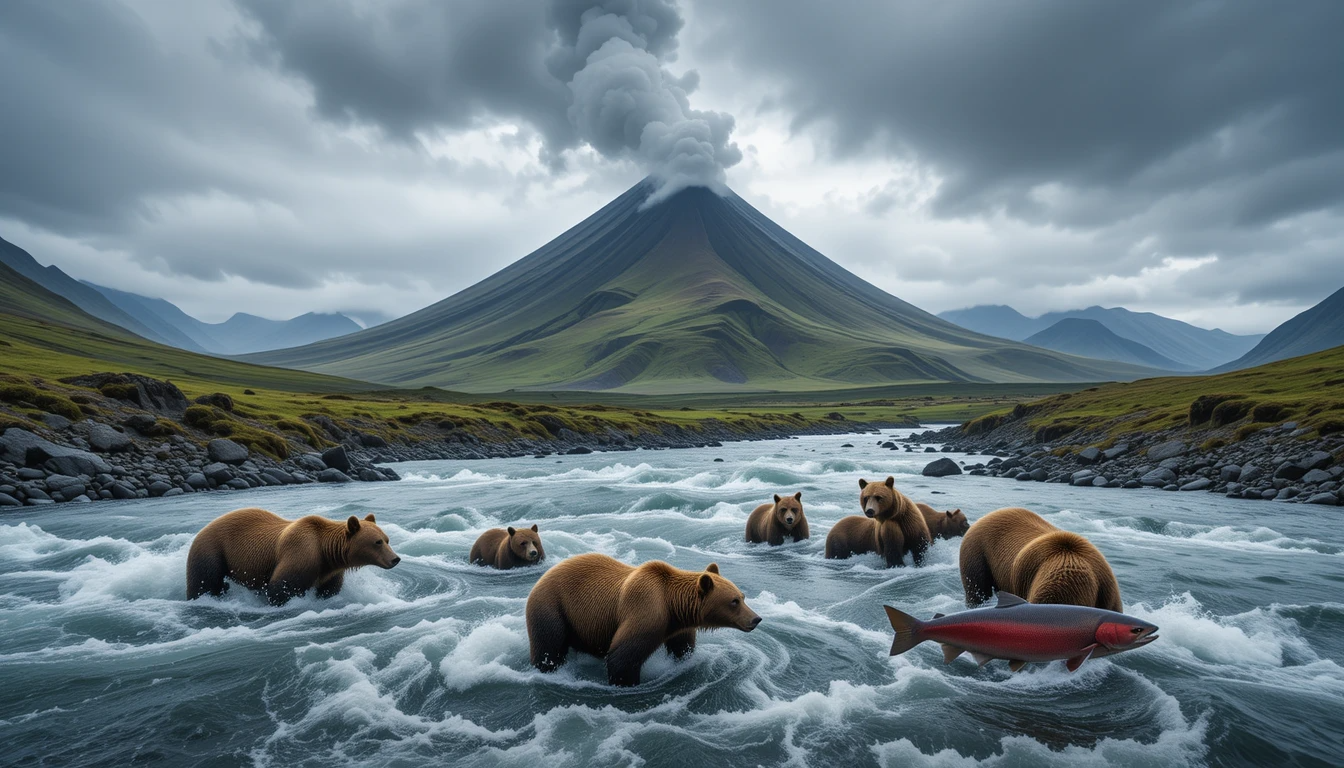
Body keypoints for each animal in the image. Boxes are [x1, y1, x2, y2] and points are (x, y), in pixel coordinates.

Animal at [185, 507, 400, 605]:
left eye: (387, 539)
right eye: (377, 542)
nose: (395, 559)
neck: (325, 552)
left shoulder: (330, 573)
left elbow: (329, 591)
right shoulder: (300, 553)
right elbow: (282, 587)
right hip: (211, 551)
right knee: (204, 582)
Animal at [525, 553, 762, 686]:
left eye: (742, 596)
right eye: (733, 601)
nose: (756, 619)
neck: (672, 605)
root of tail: (540, 580)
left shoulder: (679, 628)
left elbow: (682, 648)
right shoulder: (645, 610)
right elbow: (622, 657)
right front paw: (625, 683)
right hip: (552, 608)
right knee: (548, 648)